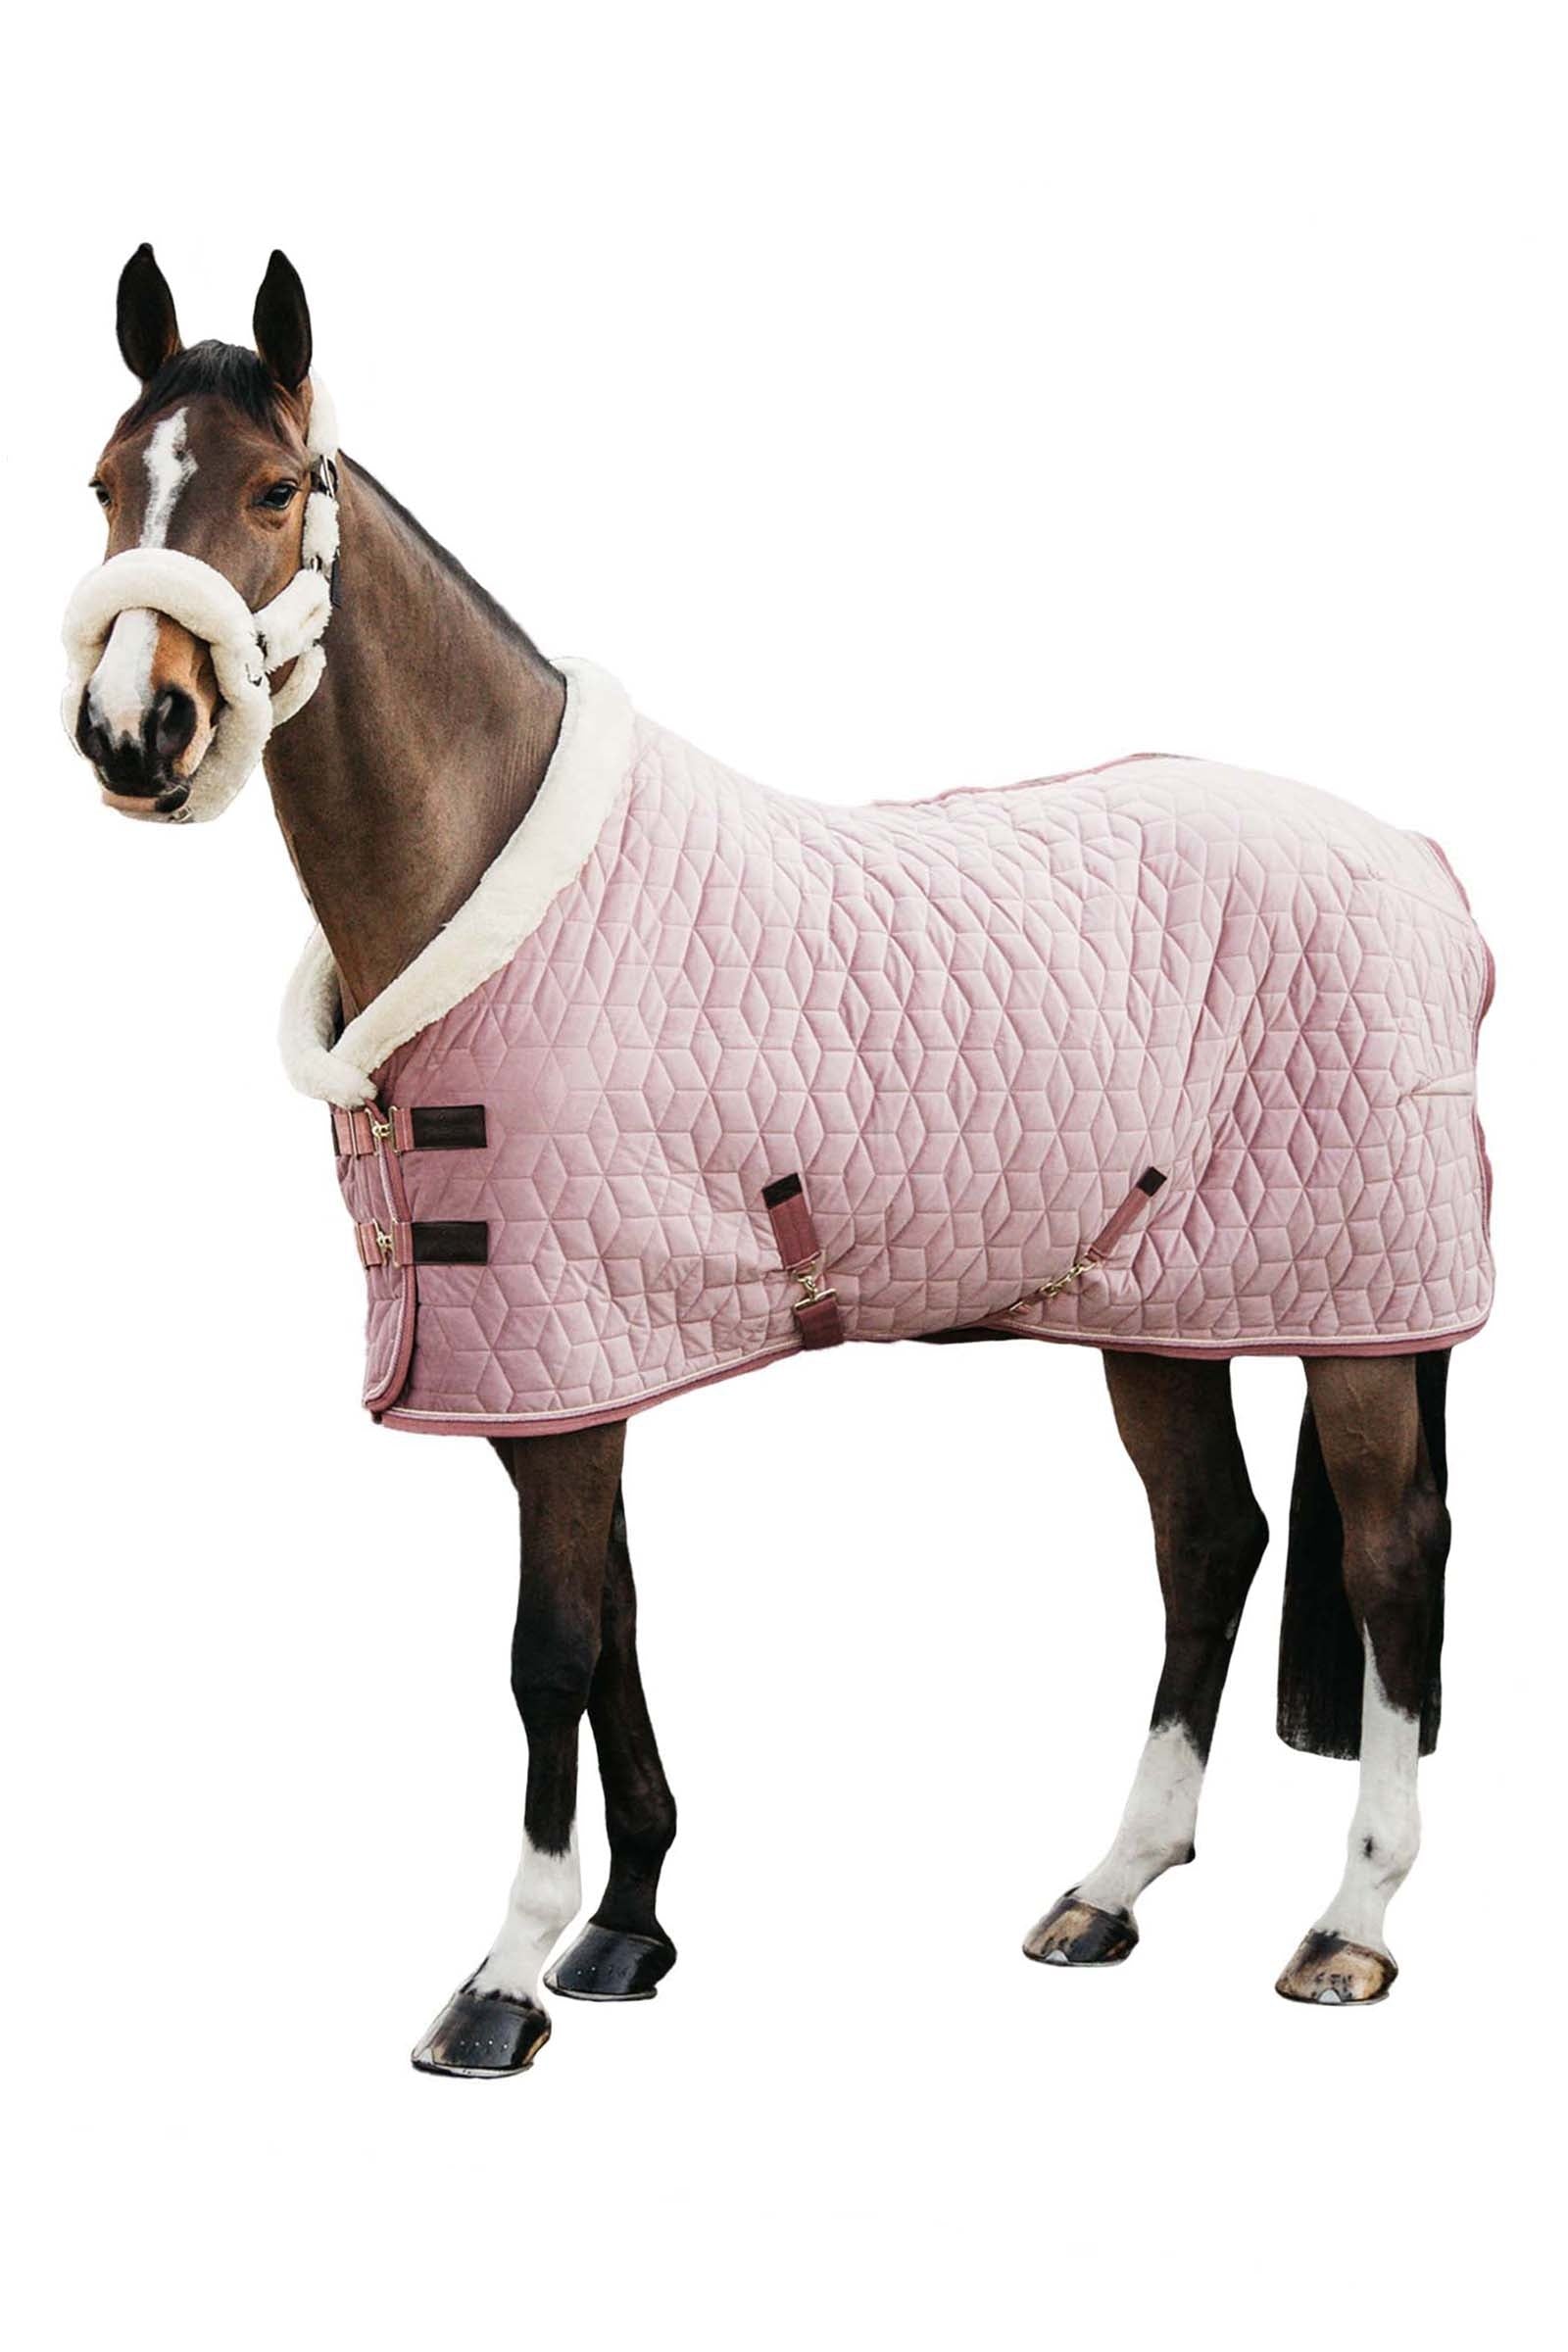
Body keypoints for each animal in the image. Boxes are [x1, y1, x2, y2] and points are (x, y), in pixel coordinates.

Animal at [63, 246, 1492, 2075]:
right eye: (107, 483)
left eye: (268, 486)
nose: (134, 730)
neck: (500, 889)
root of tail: (1419, 860)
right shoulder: (569, 1367)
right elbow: (616, 1634)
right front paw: (625, 1927)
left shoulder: (564, 1362)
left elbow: (549, 1655)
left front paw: (504, 1980)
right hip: (1163, 1315)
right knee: (1210, 1545)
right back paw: (1109, 1888)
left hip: (1362, 1318)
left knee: (1391, 1564)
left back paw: (1349, 1925)